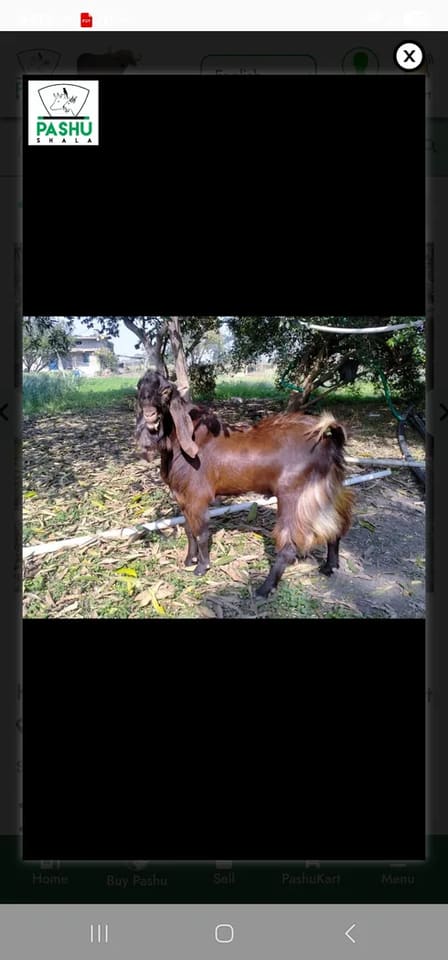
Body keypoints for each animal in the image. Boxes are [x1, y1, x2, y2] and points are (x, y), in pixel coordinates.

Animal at [136, 371, 353, 598]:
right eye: (139, 388)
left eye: (165, 390)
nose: (150, 414)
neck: (186, 441)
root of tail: (329, 441)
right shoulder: (182, 496)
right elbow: (189, 530)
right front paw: (189, 560)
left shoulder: (197, 496)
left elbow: (202, 533)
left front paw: (202, 567)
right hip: (325, 492)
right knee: (335, 528)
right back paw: (329, 566)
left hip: (294, 495)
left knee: (290, 544)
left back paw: (264, 588)